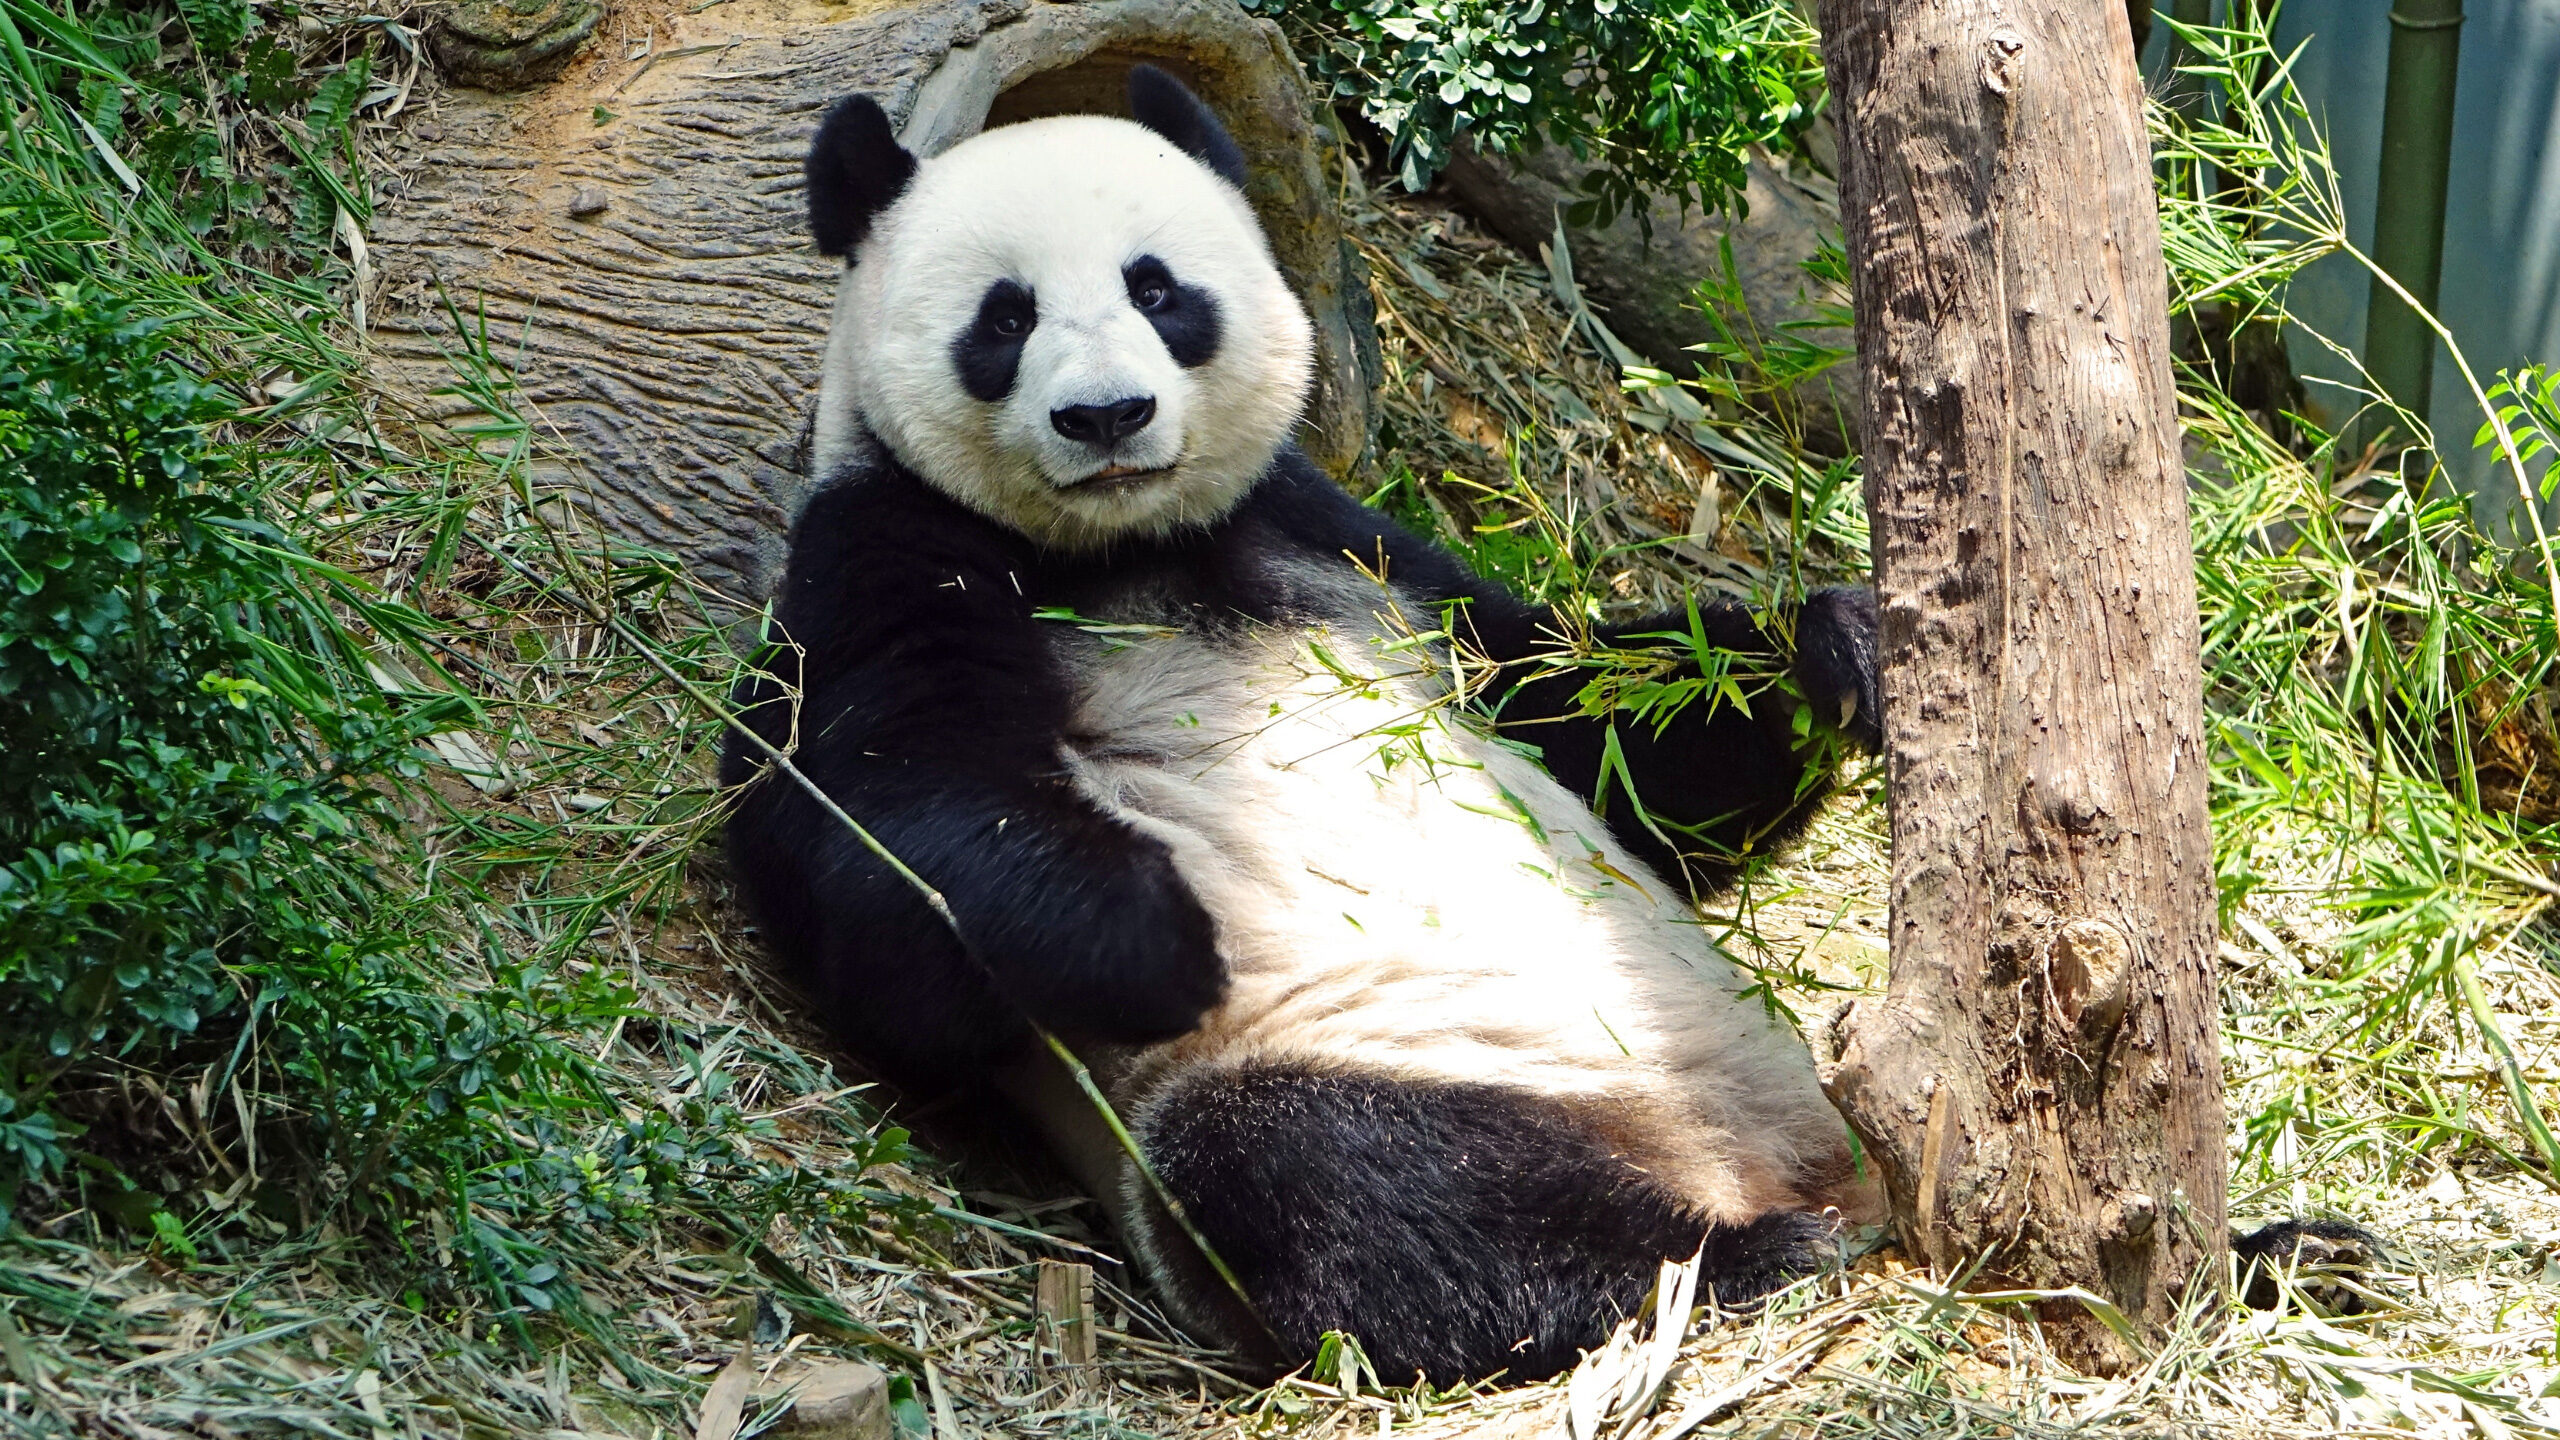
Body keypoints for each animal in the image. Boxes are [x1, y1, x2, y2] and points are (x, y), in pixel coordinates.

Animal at [720, 67, 1889, 1386]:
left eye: (1157, 290)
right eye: (1005, 318)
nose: (1107, 416)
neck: (1127, 547)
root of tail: (1732, 1154)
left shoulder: (1342, 541)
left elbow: (1594, 731)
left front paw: (1833, 651)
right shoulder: (882, 549)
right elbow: (874, 846)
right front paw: (1153, 936)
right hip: (1379, 1056)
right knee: (1351, 1182)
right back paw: (1731, 1258)